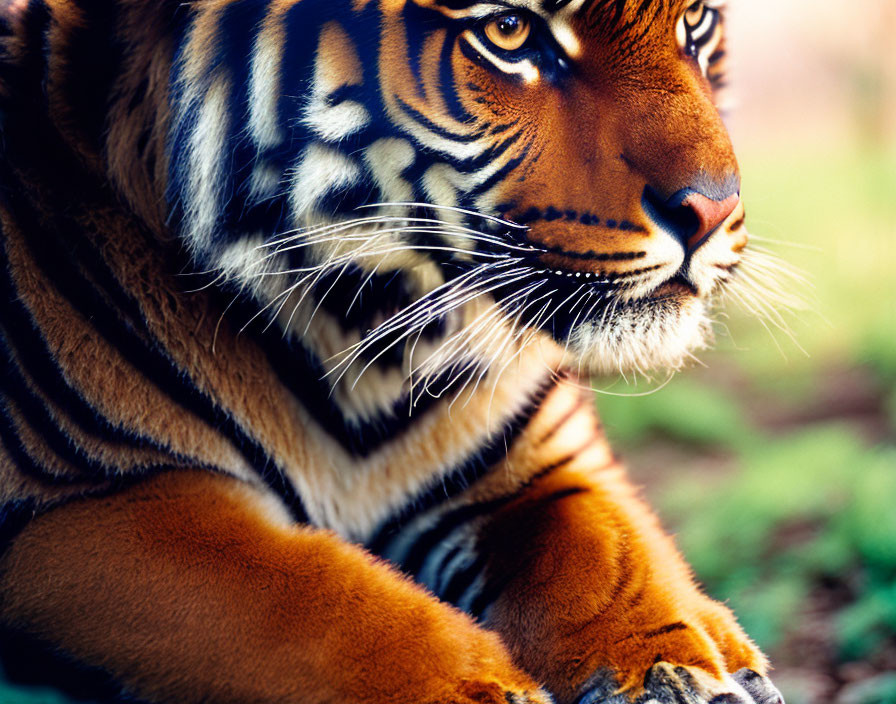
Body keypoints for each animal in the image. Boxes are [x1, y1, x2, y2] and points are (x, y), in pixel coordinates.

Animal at [0, 0, 784, 700]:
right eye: (509, 30)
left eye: (694, 22)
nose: (713, 211)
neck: (368, 335)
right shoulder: (84, 505)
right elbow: (316, 605)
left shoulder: (537, 461)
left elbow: (610, 550)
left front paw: (689, 670)